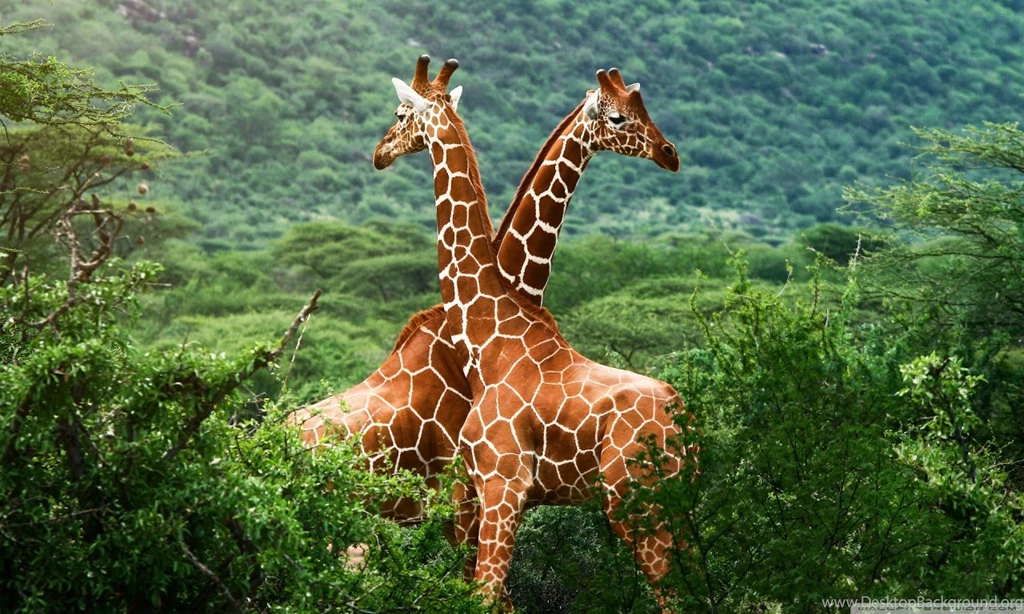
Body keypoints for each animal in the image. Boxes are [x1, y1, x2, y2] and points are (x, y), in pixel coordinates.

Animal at [373, 55, 695, 609]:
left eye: (399, 113)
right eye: (619, 116)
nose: (379, 152)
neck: (489, 335)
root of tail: (688, 426)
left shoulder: (502, 484)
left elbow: (485, 596)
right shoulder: (481, 491)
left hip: (637, 502)